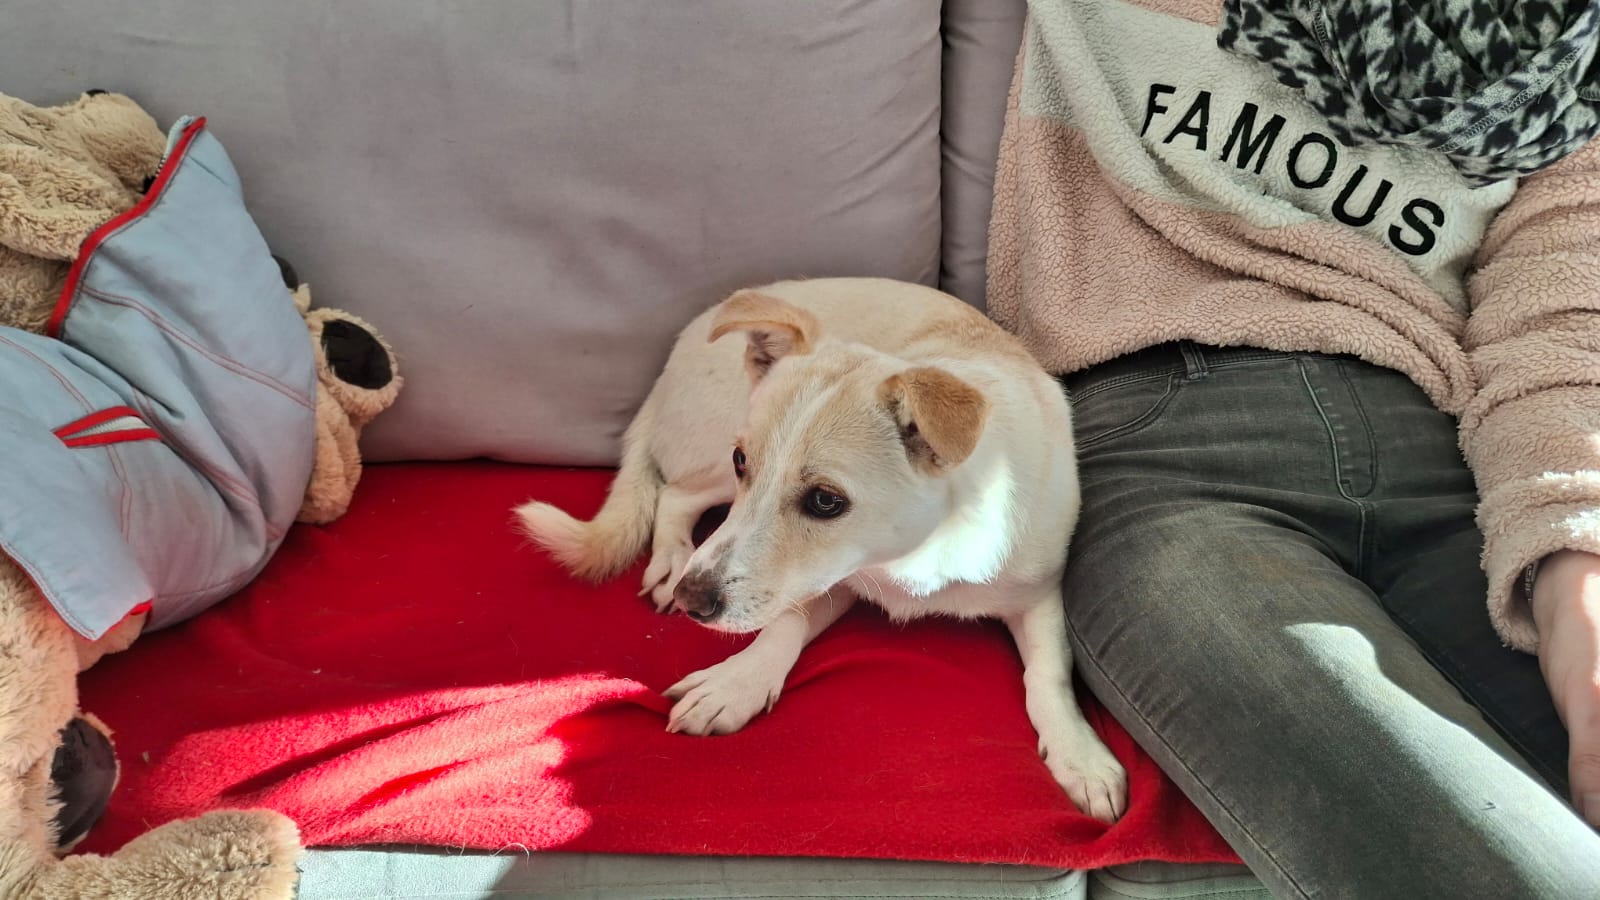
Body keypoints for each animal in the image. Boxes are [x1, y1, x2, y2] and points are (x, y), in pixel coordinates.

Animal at [516, 277, 1126, 821]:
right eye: (744, 461)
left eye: (826, 501)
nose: (694, 601)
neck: (913, 551)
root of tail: (667, 368)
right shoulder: (826, 577)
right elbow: (782, 626)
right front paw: (736, 684)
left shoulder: (1039, 594)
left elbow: (1047, 675)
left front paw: (1078, 755)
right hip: (713, 454)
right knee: (672, 495)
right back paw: (670, 560)